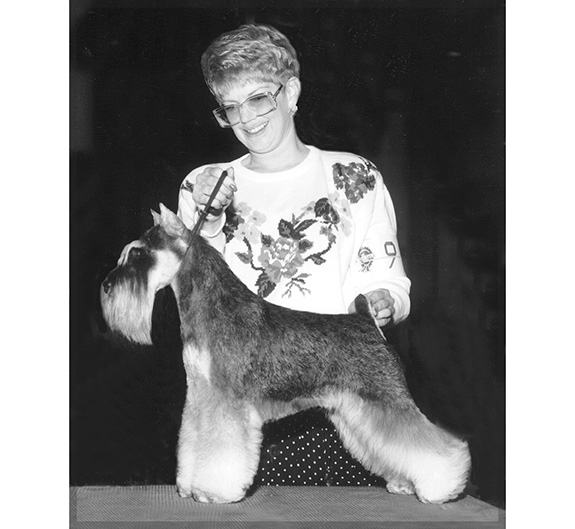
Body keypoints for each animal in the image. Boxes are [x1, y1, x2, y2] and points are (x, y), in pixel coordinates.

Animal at [100, 203, 471, 504]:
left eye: (139, 254)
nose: (106, 286)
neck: (211, 306)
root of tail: (366, 320)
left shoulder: (226, 402)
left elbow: (221, 449)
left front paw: (212, 491)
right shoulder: (200, 397)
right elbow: (193, 441)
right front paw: (190, 486)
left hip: (385, 399)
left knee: (427, 443)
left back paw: (443, 486)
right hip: (356, 411)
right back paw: (404, 483)